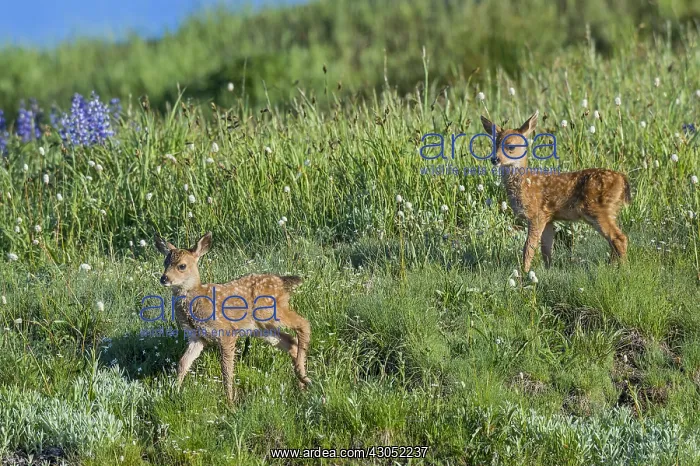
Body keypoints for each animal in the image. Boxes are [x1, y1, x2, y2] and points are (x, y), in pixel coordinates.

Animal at [153, 231, 312, 404]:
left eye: (182, 266)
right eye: (165, 262)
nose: (164, 278)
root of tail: (282, 281)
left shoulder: (226, 332)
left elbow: (226, 369)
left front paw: (230, 402)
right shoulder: (197, 337)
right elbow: (183, 363)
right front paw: (174, 392)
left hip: (271, 312)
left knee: (303, 323)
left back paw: (304, 378)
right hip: (261, 328)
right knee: (291, 341)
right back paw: (302, 386)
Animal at [480, 110, 632, 273]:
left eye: (511, 146)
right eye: (494, 145)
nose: (495, 159)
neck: (526, 184)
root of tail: (622, 179)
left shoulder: (536, 215)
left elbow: (528, 247)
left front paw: (524, 272)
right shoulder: (549, 217)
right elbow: (546, 249)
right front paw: (547, 270)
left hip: (598, 209)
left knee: (619, 238)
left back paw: (622, 269)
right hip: (606, 211)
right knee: (613, 240)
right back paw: (612, 266)